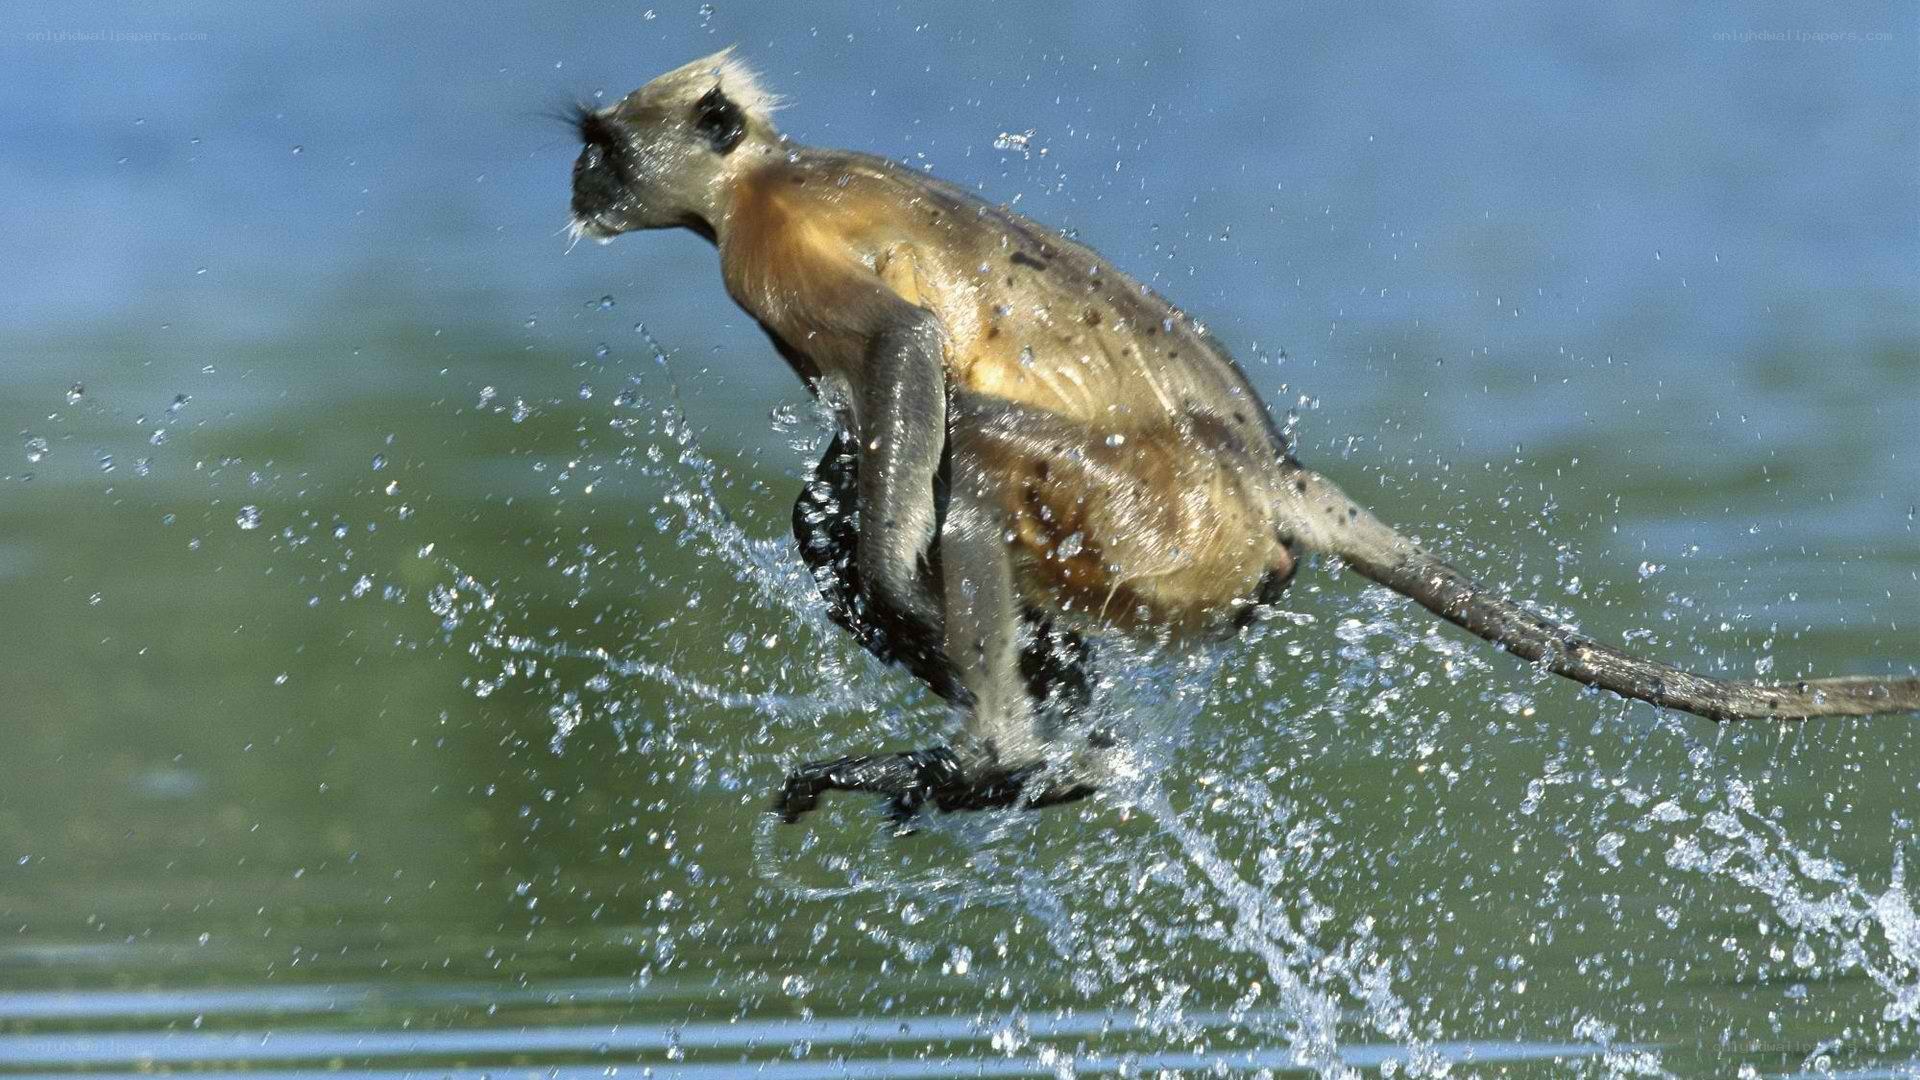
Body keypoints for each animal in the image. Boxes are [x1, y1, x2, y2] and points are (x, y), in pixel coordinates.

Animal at [566, 50, 1919, 827]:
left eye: (604, 146)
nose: (579, 187)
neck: (759, 177)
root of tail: (1272, 474)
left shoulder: (773, 248)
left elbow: (905, 357)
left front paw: (914, 600)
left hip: (1167, 526)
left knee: (974, 461)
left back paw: (1003, 750)